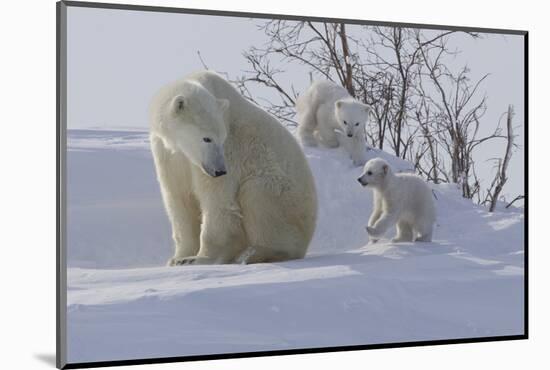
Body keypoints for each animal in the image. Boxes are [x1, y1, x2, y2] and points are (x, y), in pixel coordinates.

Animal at [151, 70, 320, 266]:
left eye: (221, 138)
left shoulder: (232, 150)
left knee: (256, 193)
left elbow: (218, 200)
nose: (220, 171)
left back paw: (253, 254)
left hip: (289, 201)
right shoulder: (169, 154)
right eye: (206, 138)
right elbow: (179, 198)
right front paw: (179, 258)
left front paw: (199, 258)